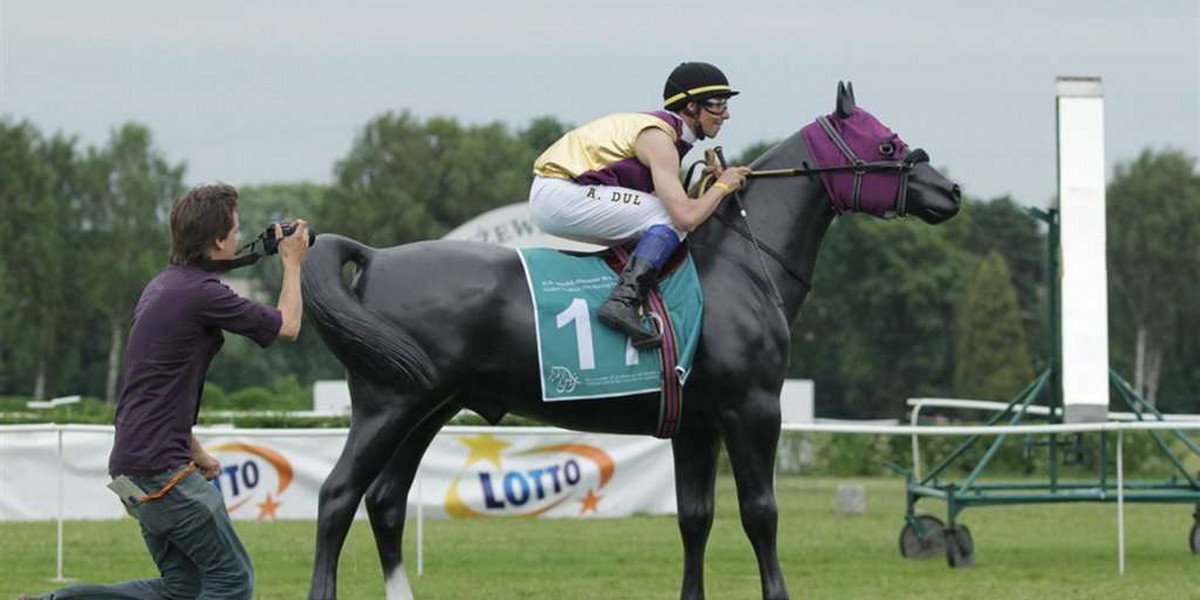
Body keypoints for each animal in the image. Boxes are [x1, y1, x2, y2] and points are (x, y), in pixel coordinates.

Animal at [304, 84, 960, 600]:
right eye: (887, 145)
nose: (950, 192)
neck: (741, 265)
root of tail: (375, 256)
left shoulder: (696, 424)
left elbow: (695, 518)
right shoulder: (752, 410)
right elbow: (760, 513)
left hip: (429, 407)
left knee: (385, 502)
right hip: (388, 405)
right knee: (338, 496)